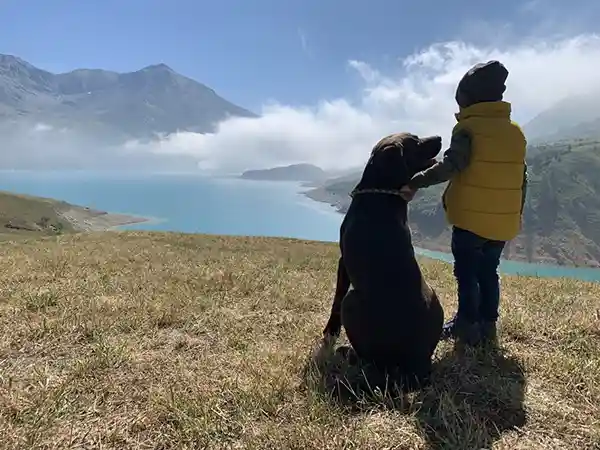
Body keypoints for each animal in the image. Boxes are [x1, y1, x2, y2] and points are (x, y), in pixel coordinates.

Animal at [324, 131, 446, 390]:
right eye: (416, 140)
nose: (440, 137)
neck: (379, 194)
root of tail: (416, 364)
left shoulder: (343, 262)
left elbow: (336, 300)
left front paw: (330, 332)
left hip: (352, 302)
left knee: (368, 360)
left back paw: (347, 353)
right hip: (433, 293)